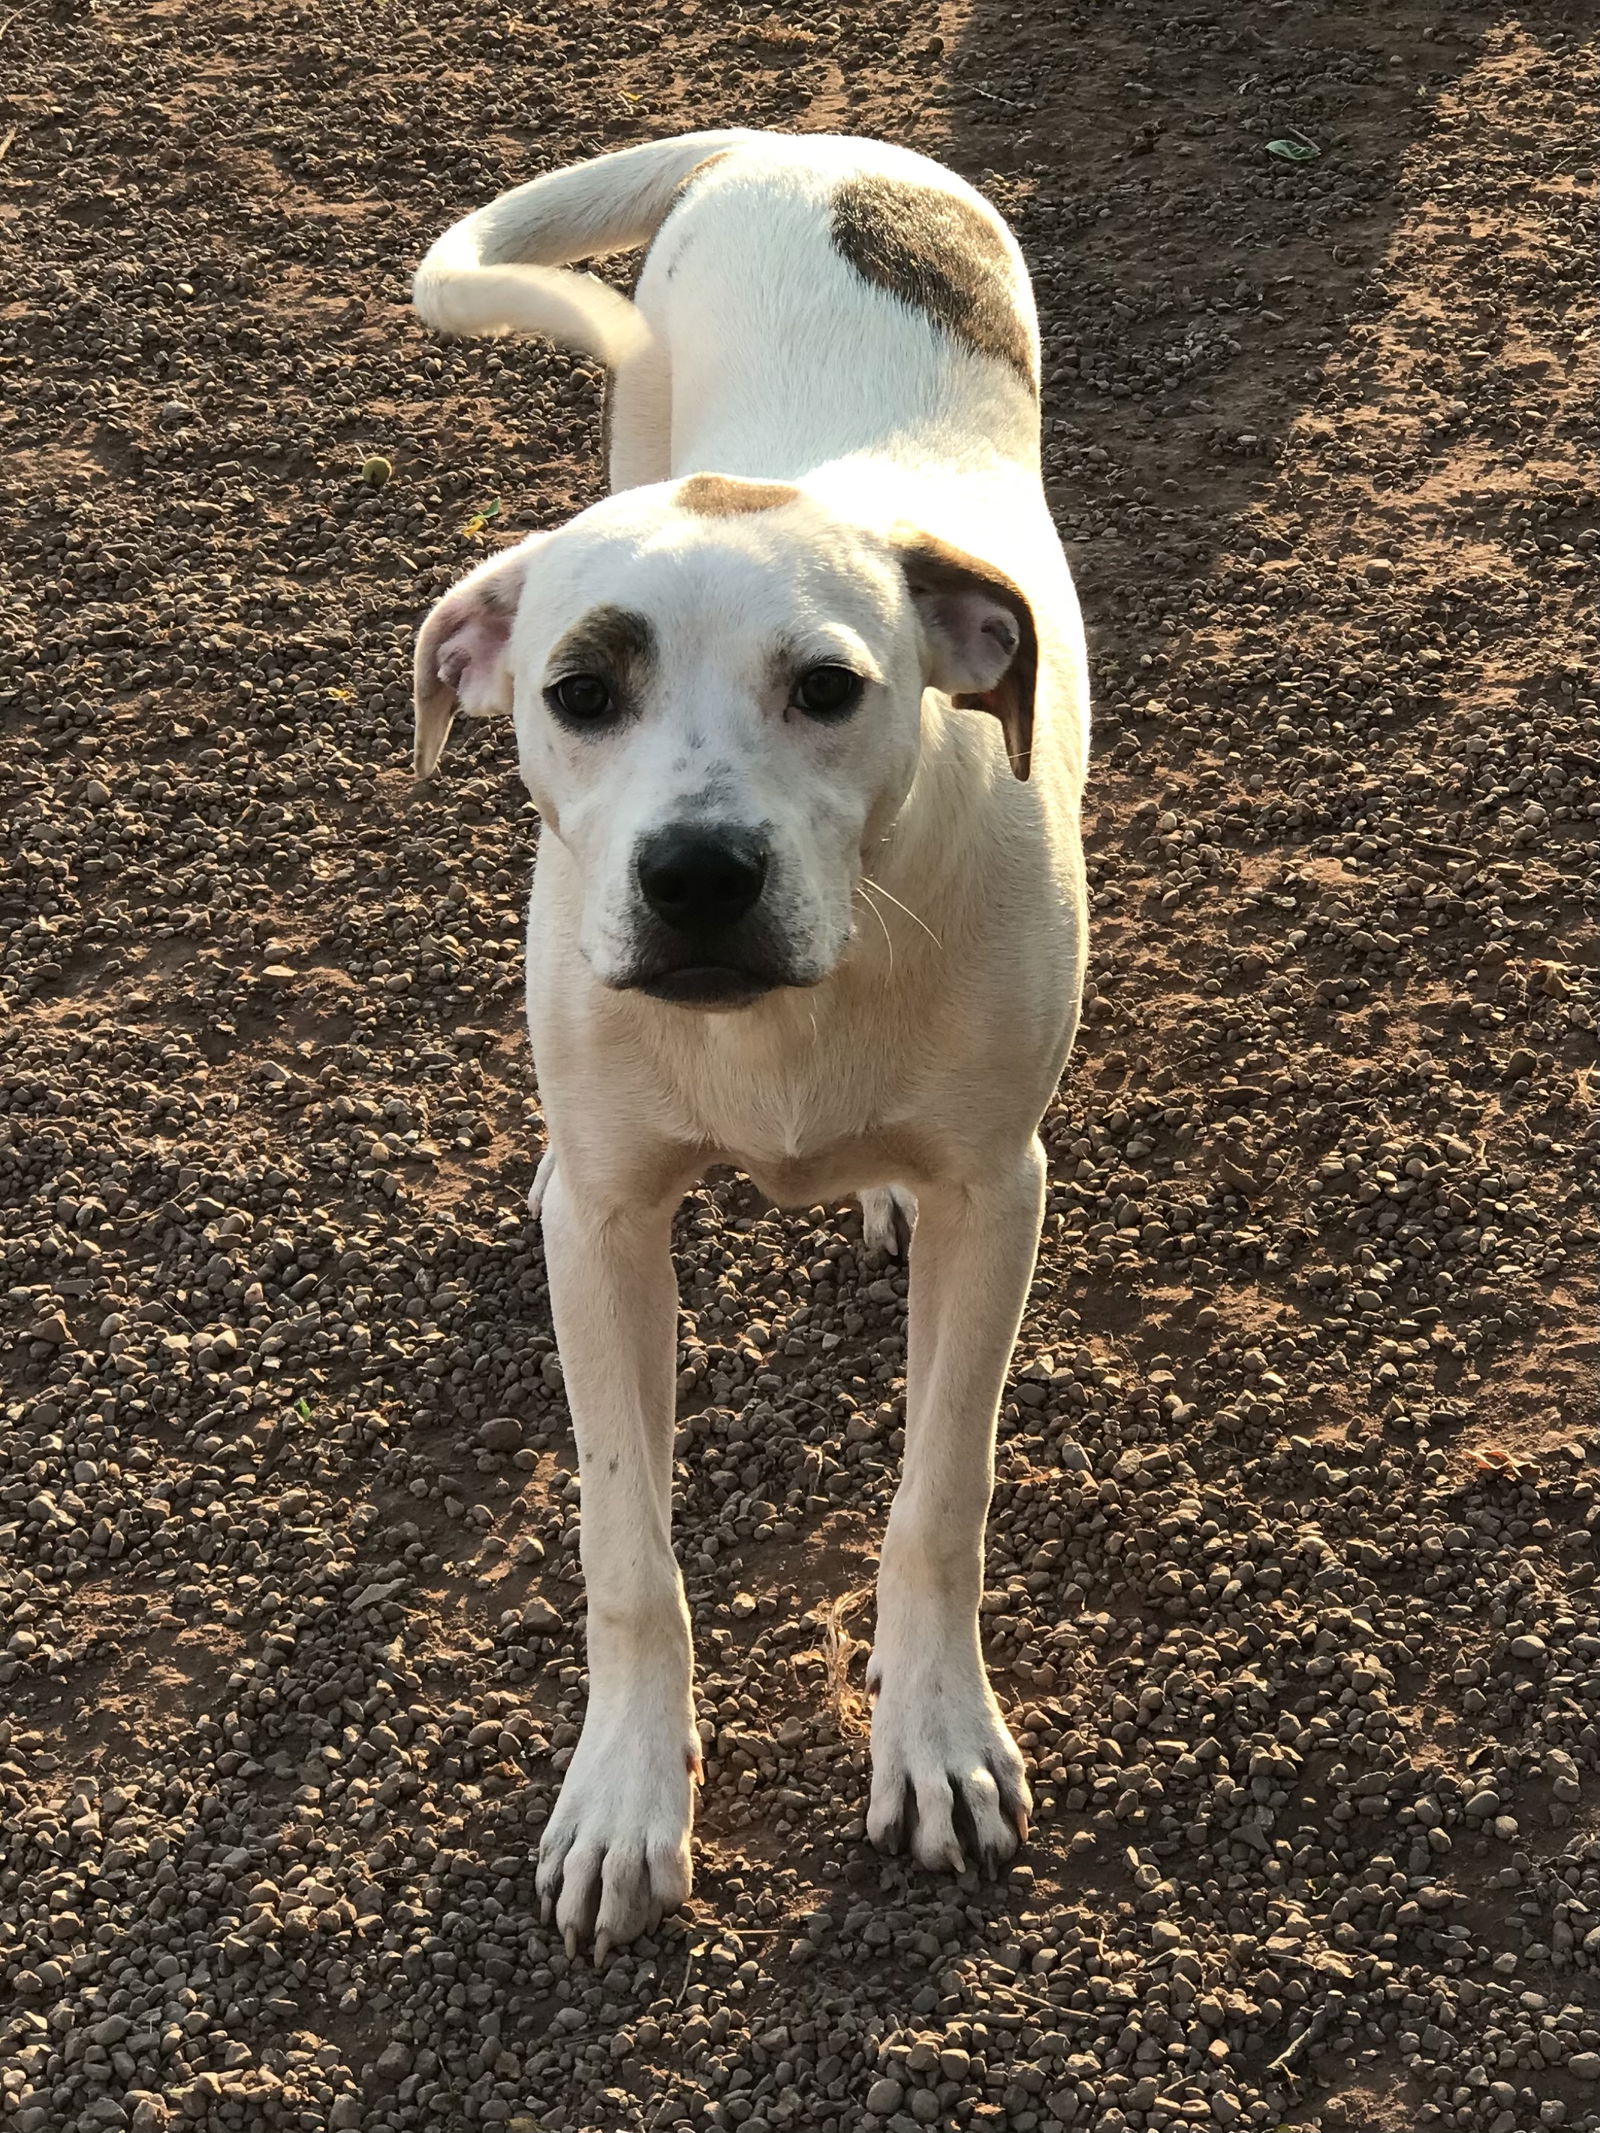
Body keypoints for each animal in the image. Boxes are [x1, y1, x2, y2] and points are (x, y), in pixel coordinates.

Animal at [409, 129, 1092, 1953]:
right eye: (580, 692)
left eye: (833, 687)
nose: (699, 874)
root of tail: (796, 143)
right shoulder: (598, 1214)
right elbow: (626, 1545)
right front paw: (625, 1795)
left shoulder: (1003, 1193)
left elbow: (939, 1493)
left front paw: (935, 1734)